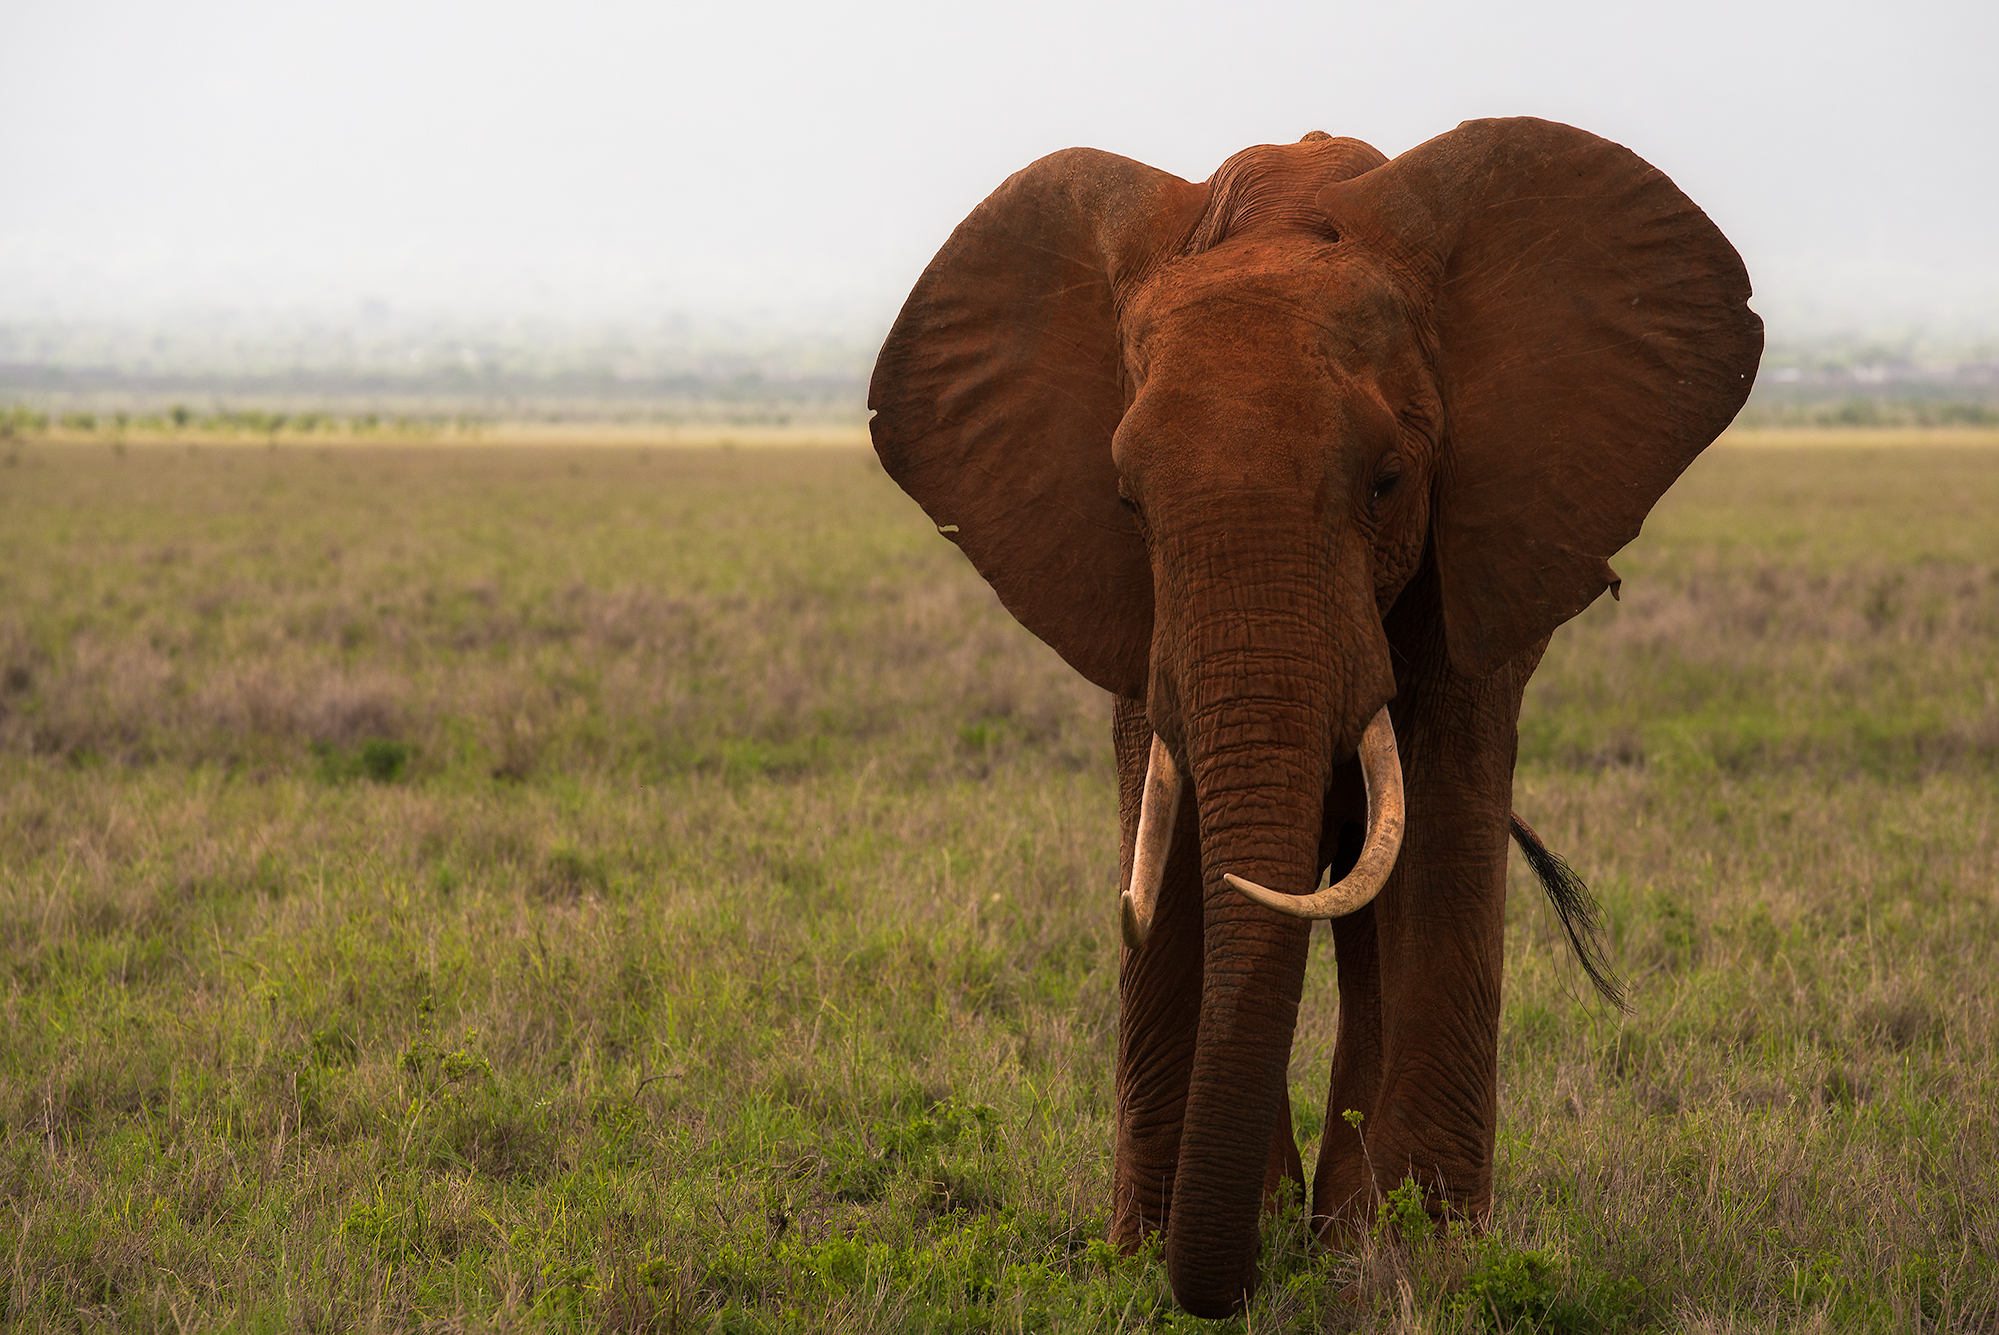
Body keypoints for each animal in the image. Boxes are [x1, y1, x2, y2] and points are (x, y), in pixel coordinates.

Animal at [868, 118, 1760, 1318]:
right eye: (1126, 503)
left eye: (1386, 482)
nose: (1230, 1282)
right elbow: (1168, 843)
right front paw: (1150, 1255)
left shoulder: (1480, 554)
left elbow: (1438, 830)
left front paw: (1420, 1266)